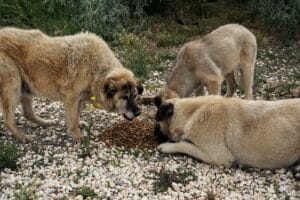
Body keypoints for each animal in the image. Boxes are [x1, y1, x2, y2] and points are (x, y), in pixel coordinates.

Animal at [0, 27, 143, 143]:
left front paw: (79, 126)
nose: (139, 112)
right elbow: (73, 119)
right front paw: (77, 136)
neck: (96, 69)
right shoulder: (70, 98)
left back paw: (44, 122)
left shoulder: (78, 99)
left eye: (135, 96)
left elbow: (77, 114)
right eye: (124, 97)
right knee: (8, 120)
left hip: (25, 87)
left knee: (27, 113)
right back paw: (22, 136)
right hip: (13, 85)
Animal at [156, 96, 300, 178]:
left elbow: (185, 145)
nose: (155, 133)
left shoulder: (218, 157)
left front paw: (168, 146)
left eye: (159, 125)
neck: (194, 111)